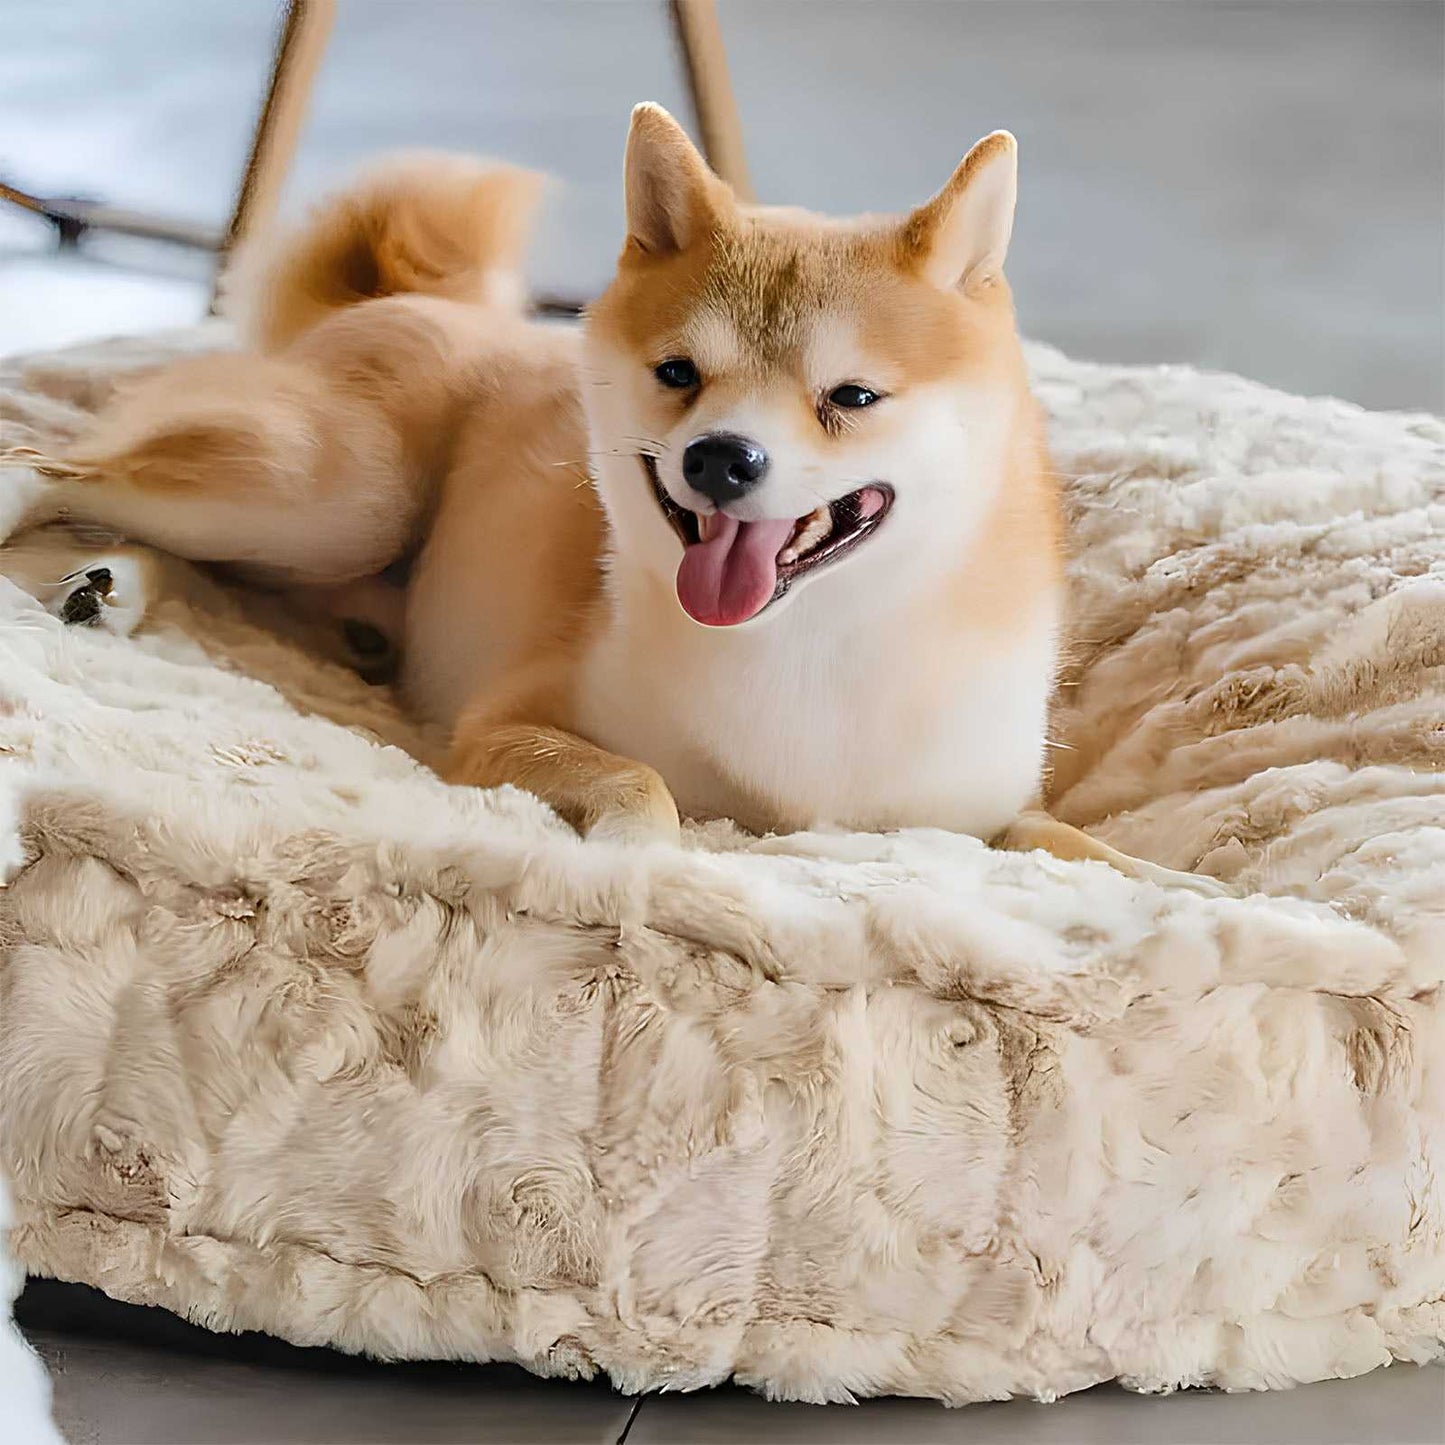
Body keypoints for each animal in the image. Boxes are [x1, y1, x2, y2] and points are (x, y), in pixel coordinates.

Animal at [0, 104, 1219, 890]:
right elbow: (639, 779)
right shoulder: (502, 723)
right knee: (63, 468)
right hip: (336, 494)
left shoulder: (969, 810)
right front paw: (638, 858)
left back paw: (111, 585)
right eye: (678, 374)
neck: (812, 645)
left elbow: (1066, 844)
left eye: (851, 396)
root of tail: (411, 304)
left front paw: (1193, 888)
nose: (721, 459)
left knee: (203, 560)